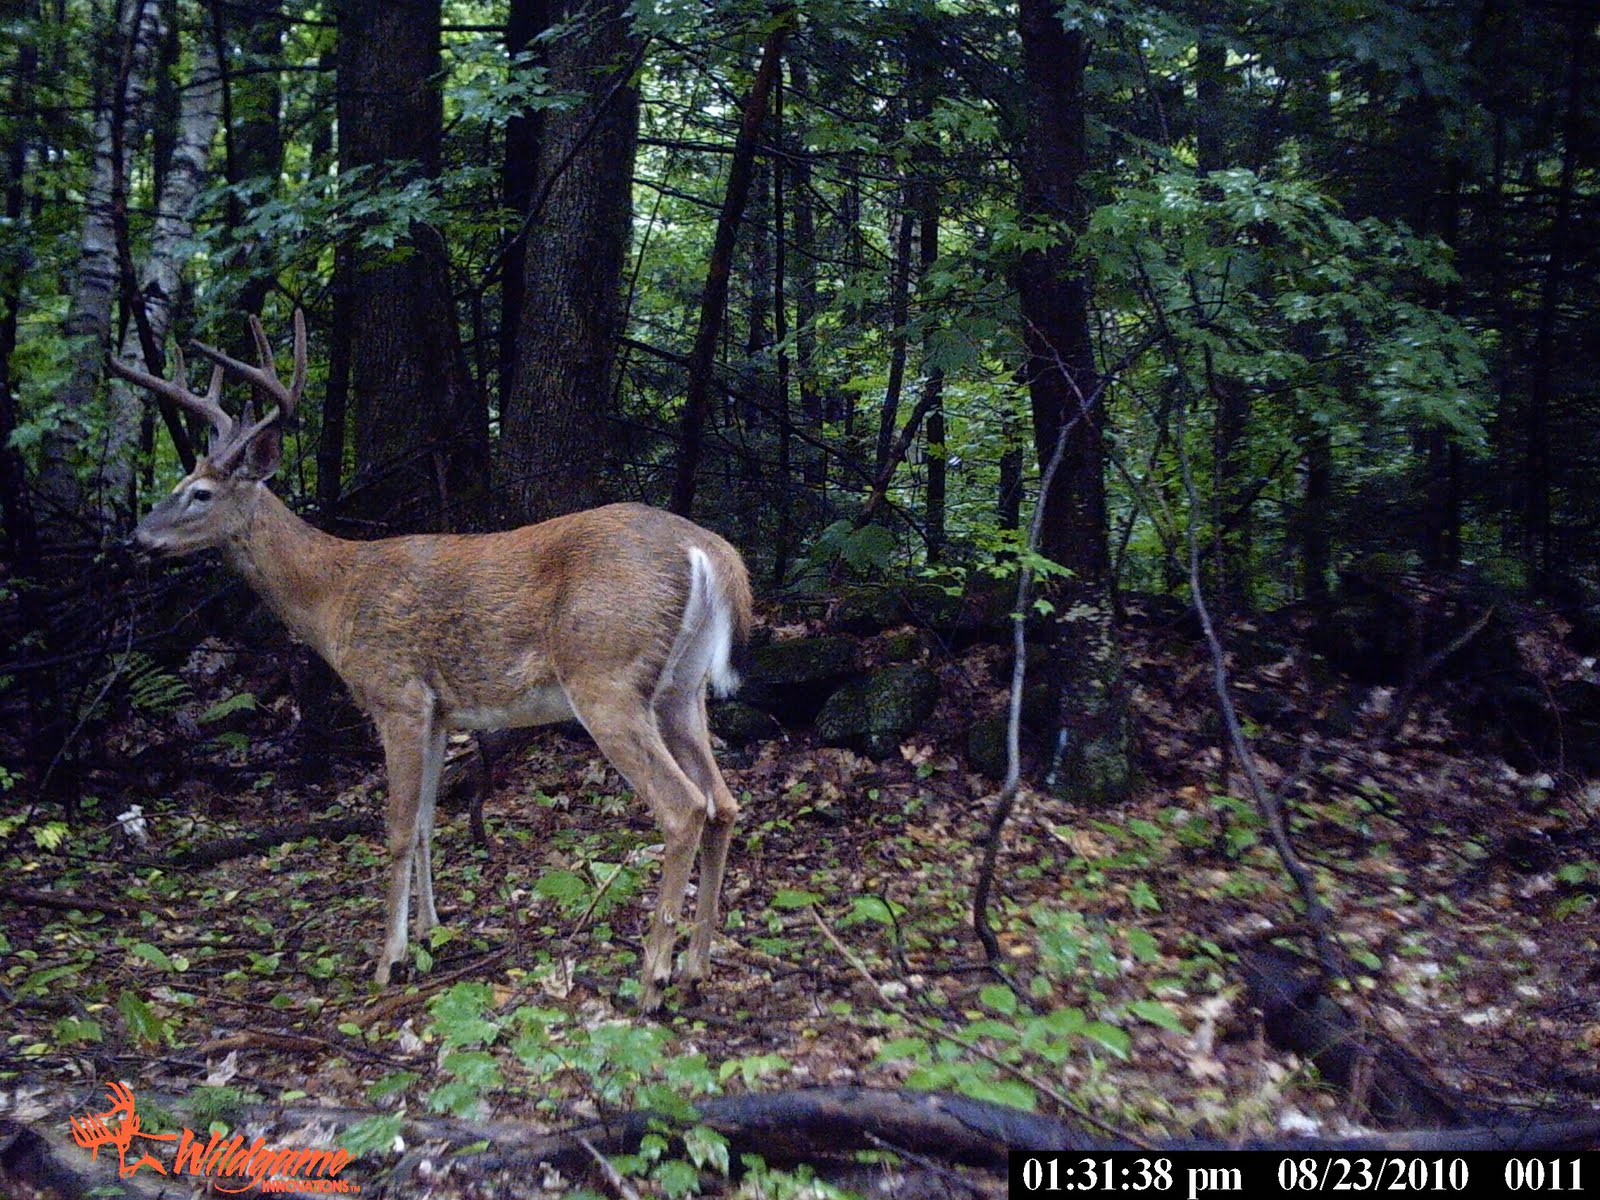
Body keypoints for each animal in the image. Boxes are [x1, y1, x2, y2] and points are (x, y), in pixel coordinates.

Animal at [109, 311, 753, 1012]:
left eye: (198, 493)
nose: (136, 539)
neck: (333, 598)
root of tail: (709, 550)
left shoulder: (396, 694)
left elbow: (394, 827)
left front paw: (387, 960)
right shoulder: (443, 712)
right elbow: (424, 822)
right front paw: (430, 932)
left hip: (605, 676)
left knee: (683, 807)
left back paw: (652, 980)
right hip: (680, 689)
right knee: (724, 803)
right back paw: (695, 969)